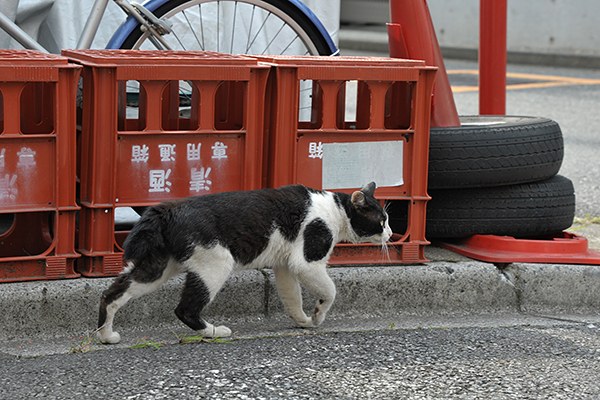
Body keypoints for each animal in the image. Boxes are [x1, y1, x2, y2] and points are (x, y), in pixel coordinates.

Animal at [98, 182, 394, 344]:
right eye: (381, 220)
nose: (391, 234)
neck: (335, 210)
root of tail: (166, 210)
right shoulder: (307, 261)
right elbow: (330, 291)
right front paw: (318, 315)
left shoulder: (285, 266)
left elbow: (292, 297)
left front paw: (302, 321)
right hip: (216, 263)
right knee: (185, 309)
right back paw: (213, 331)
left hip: (157, 268)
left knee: (112, 293)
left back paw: (106, 335)